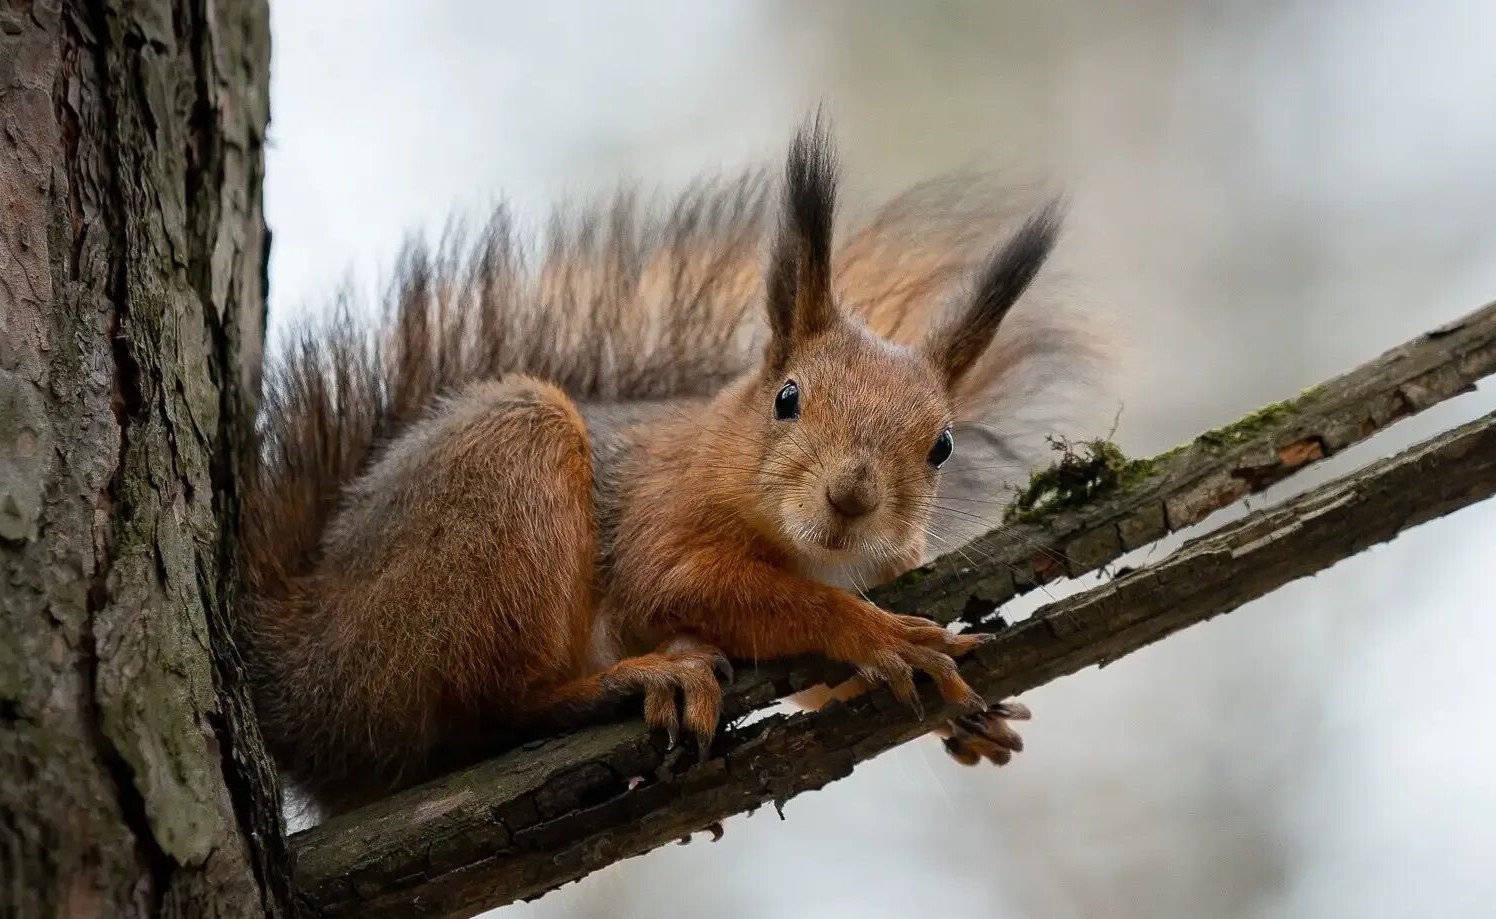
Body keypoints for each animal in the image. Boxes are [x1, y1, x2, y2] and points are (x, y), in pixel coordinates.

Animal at [240, 117, 1106, 816]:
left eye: (941, 446)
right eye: (788, 397)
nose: (850, 496)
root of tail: (298, 666)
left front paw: (965, 717)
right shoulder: (661, 523)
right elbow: (702, 588)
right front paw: (877, 632)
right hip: (499, 489)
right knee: (496, 711)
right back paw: (643, 677)